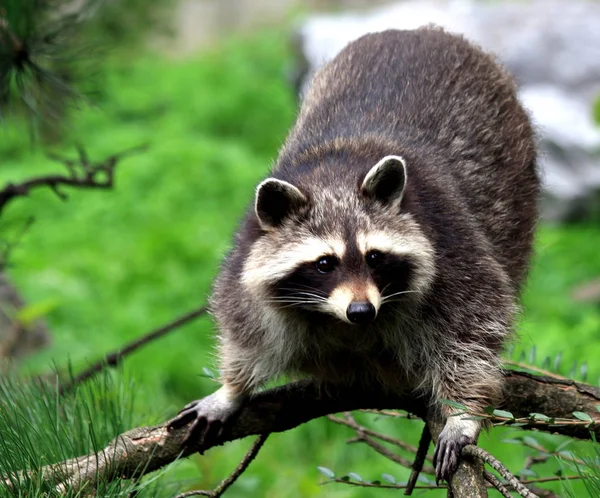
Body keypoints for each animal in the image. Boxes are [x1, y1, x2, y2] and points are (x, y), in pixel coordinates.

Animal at [170, 27, 540, 482]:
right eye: (324, 264)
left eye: (374, 257)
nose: (362, 311)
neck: (335, 179)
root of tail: (421, 30)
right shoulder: (247, 253)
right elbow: (246, 326)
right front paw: (232, 388)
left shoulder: (450, 243)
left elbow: (474, 326)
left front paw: (461, 413)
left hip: (513, 173)